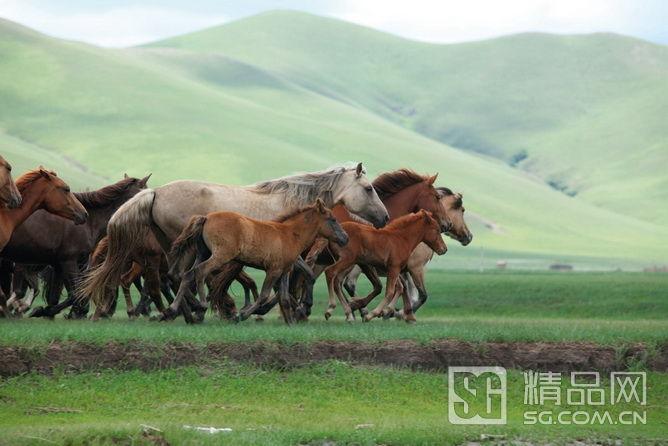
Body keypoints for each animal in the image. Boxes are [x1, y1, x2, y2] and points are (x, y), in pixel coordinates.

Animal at [1, 173, 151, 318]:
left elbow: (57, 297)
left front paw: (45, 312)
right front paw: (43, 311)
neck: (88, 221)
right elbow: (75, 294)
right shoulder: (69, 262)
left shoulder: (59, 265)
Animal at [170, 200, 350, 322]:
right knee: (200, 271)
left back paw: (173, 308)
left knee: (188, 274)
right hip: (220, 256)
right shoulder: (273, 270)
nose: (345, 238)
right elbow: (263, 296)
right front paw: (241, 315)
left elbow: (284, 297)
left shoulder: (284, 270)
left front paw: (291, 322)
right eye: (333, 219)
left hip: (204, 253)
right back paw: (200, 305)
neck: (290, 234)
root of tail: (206, 217)